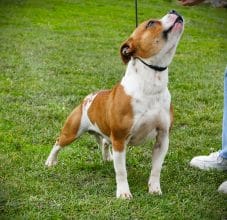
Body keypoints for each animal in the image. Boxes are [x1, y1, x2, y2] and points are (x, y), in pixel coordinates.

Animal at [45, 9, 184, 199]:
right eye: (150, 23)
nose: (174, 10)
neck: (151, 84)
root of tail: (88, 98)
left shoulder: (162, 137)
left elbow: (156, 168)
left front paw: (154, 189)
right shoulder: (119, 139)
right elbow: (121, 171)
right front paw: (124, 193)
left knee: (104, 142)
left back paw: (107, 157)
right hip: (72, 131)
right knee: (58, 142)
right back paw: (50, 161)